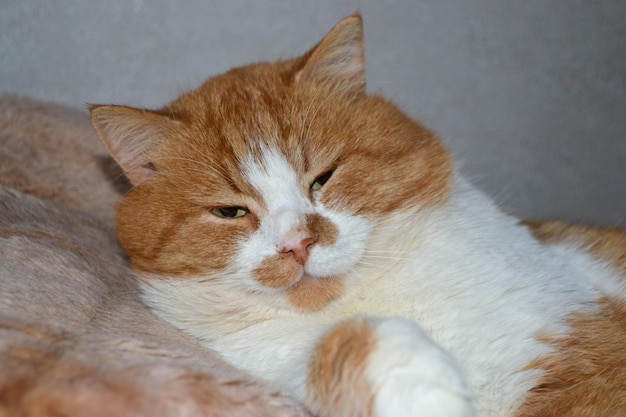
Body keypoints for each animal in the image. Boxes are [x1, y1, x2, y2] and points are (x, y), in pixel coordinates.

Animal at [90, 13, 624, 416]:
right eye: (230, 211)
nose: (297, 243)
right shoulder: (274, 361)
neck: (373, 300)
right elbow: (339, 344)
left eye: (323, 178)